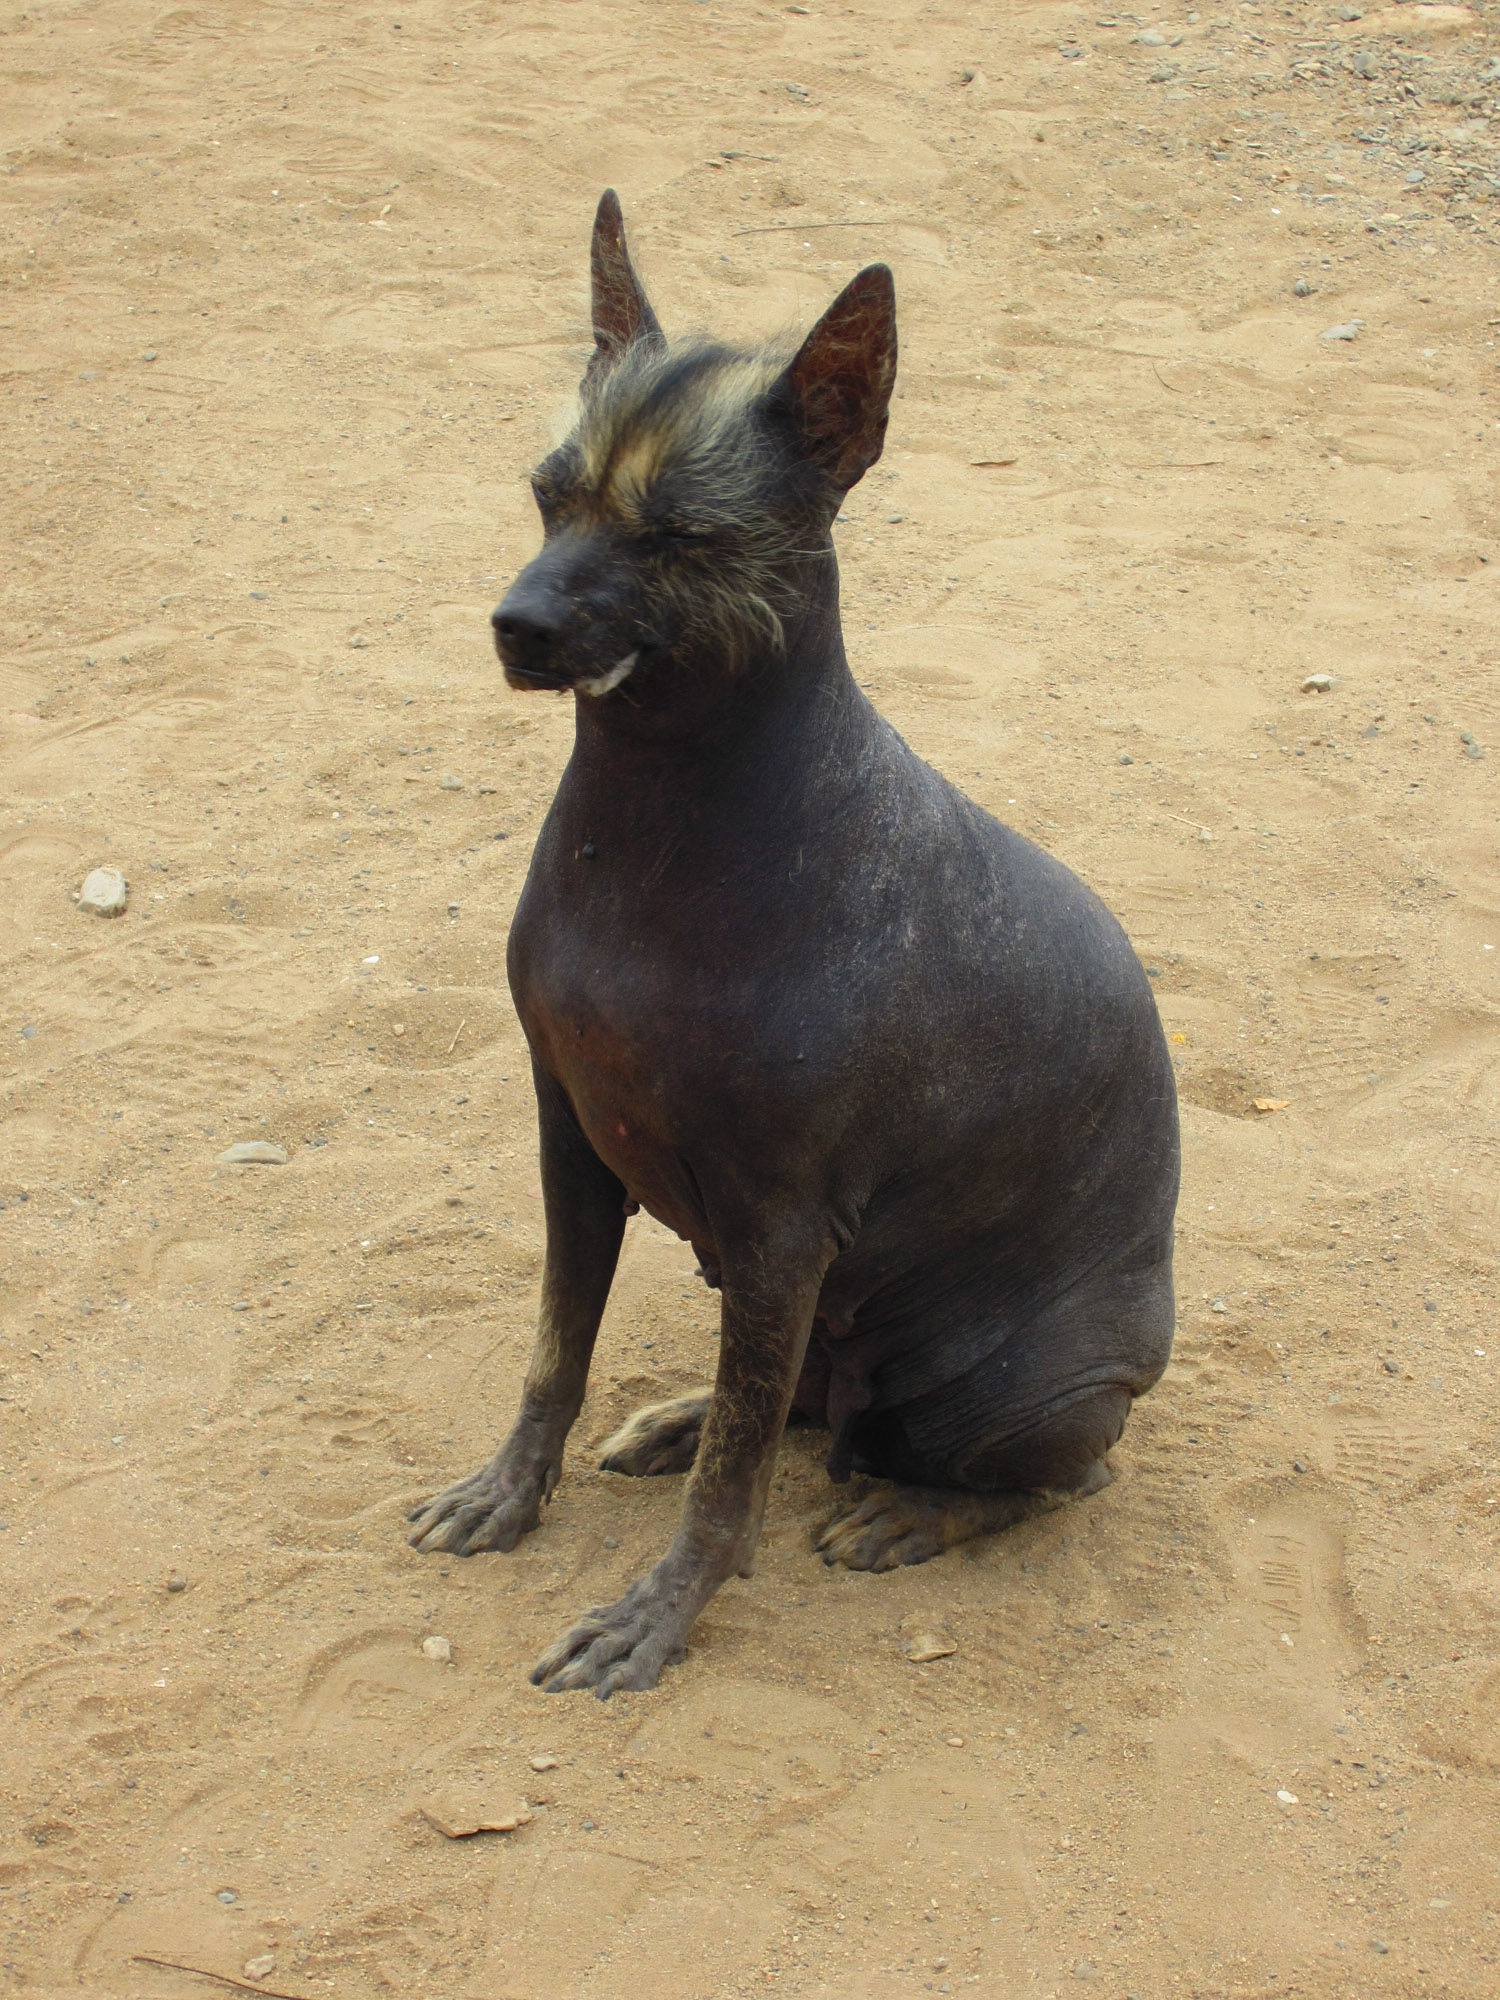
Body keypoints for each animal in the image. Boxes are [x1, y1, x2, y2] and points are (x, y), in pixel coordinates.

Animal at [407, 191, 1180, 1697]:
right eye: (550, 494)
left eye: (680, 534)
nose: (516, 625)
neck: (656, 822)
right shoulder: (572, 1138)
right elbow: (555, 1350)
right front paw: (513, 1491)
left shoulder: (780, 1223)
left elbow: (734, 1487)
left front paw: (659, 1614)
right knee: (794, 1407)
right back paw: (676, 1418)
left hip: (1024, 1384)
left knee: (1023, 1474)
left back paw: (910, 1510)